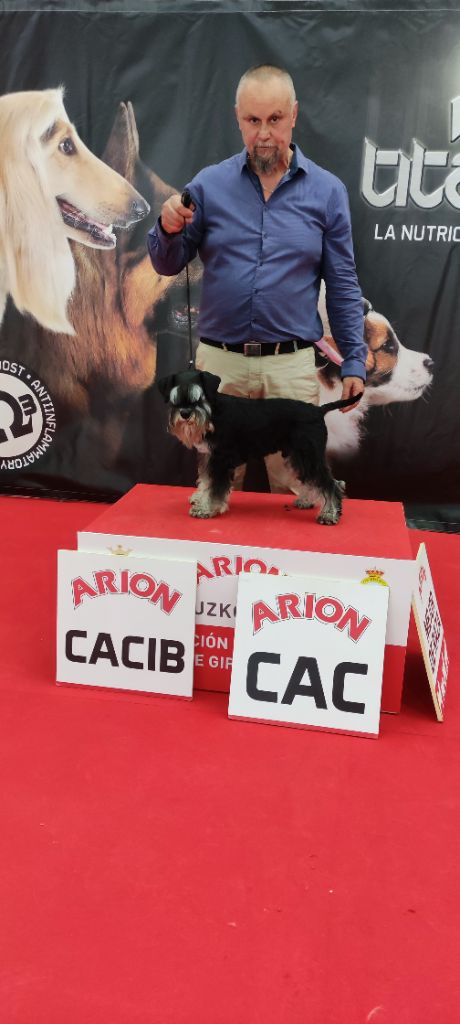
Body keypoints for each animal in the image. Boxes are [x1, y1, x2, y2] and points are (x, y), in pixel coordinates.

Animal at [158, 369, 362, 524]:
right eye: (174, 398)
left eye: (199, 397)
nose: (185, 414)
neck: (214, 412)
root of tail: (318, 410)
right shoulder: (208, 457)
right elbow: (206, 480)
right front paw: (200, 499)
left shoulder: (220, 459)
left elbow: (215, 486)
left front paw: (206, 509)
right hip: (298, 456)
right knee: (313, 480)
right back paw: (306, 501)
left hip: (309, 454)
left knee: (332, 484)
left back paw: (329, 514)